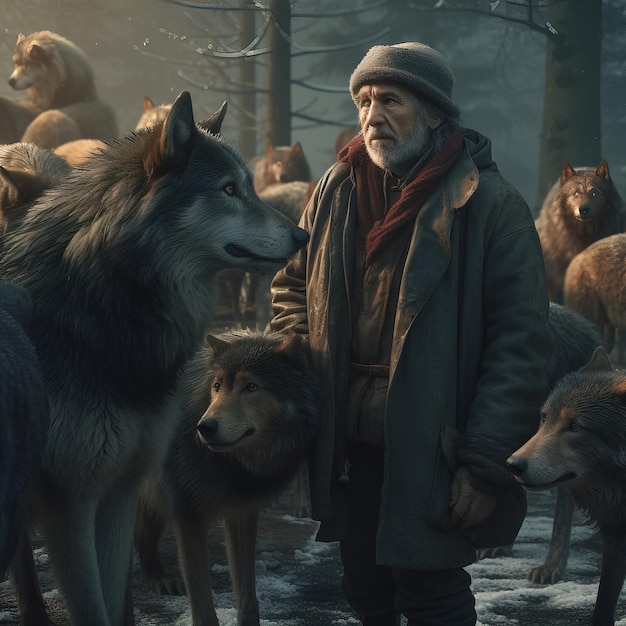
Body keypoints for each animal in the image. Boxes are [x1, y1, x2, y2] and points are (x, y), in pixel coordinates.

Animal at [135, 330, 322, 620]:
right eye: (217, 386)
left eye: (252, 387)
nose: (205, 427)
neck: (234, 462)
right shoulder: (188, 514)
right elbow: (202, 603)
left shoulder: (242, 511)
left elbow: (248, 598)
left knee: (142, 536)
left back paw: (159, 576)